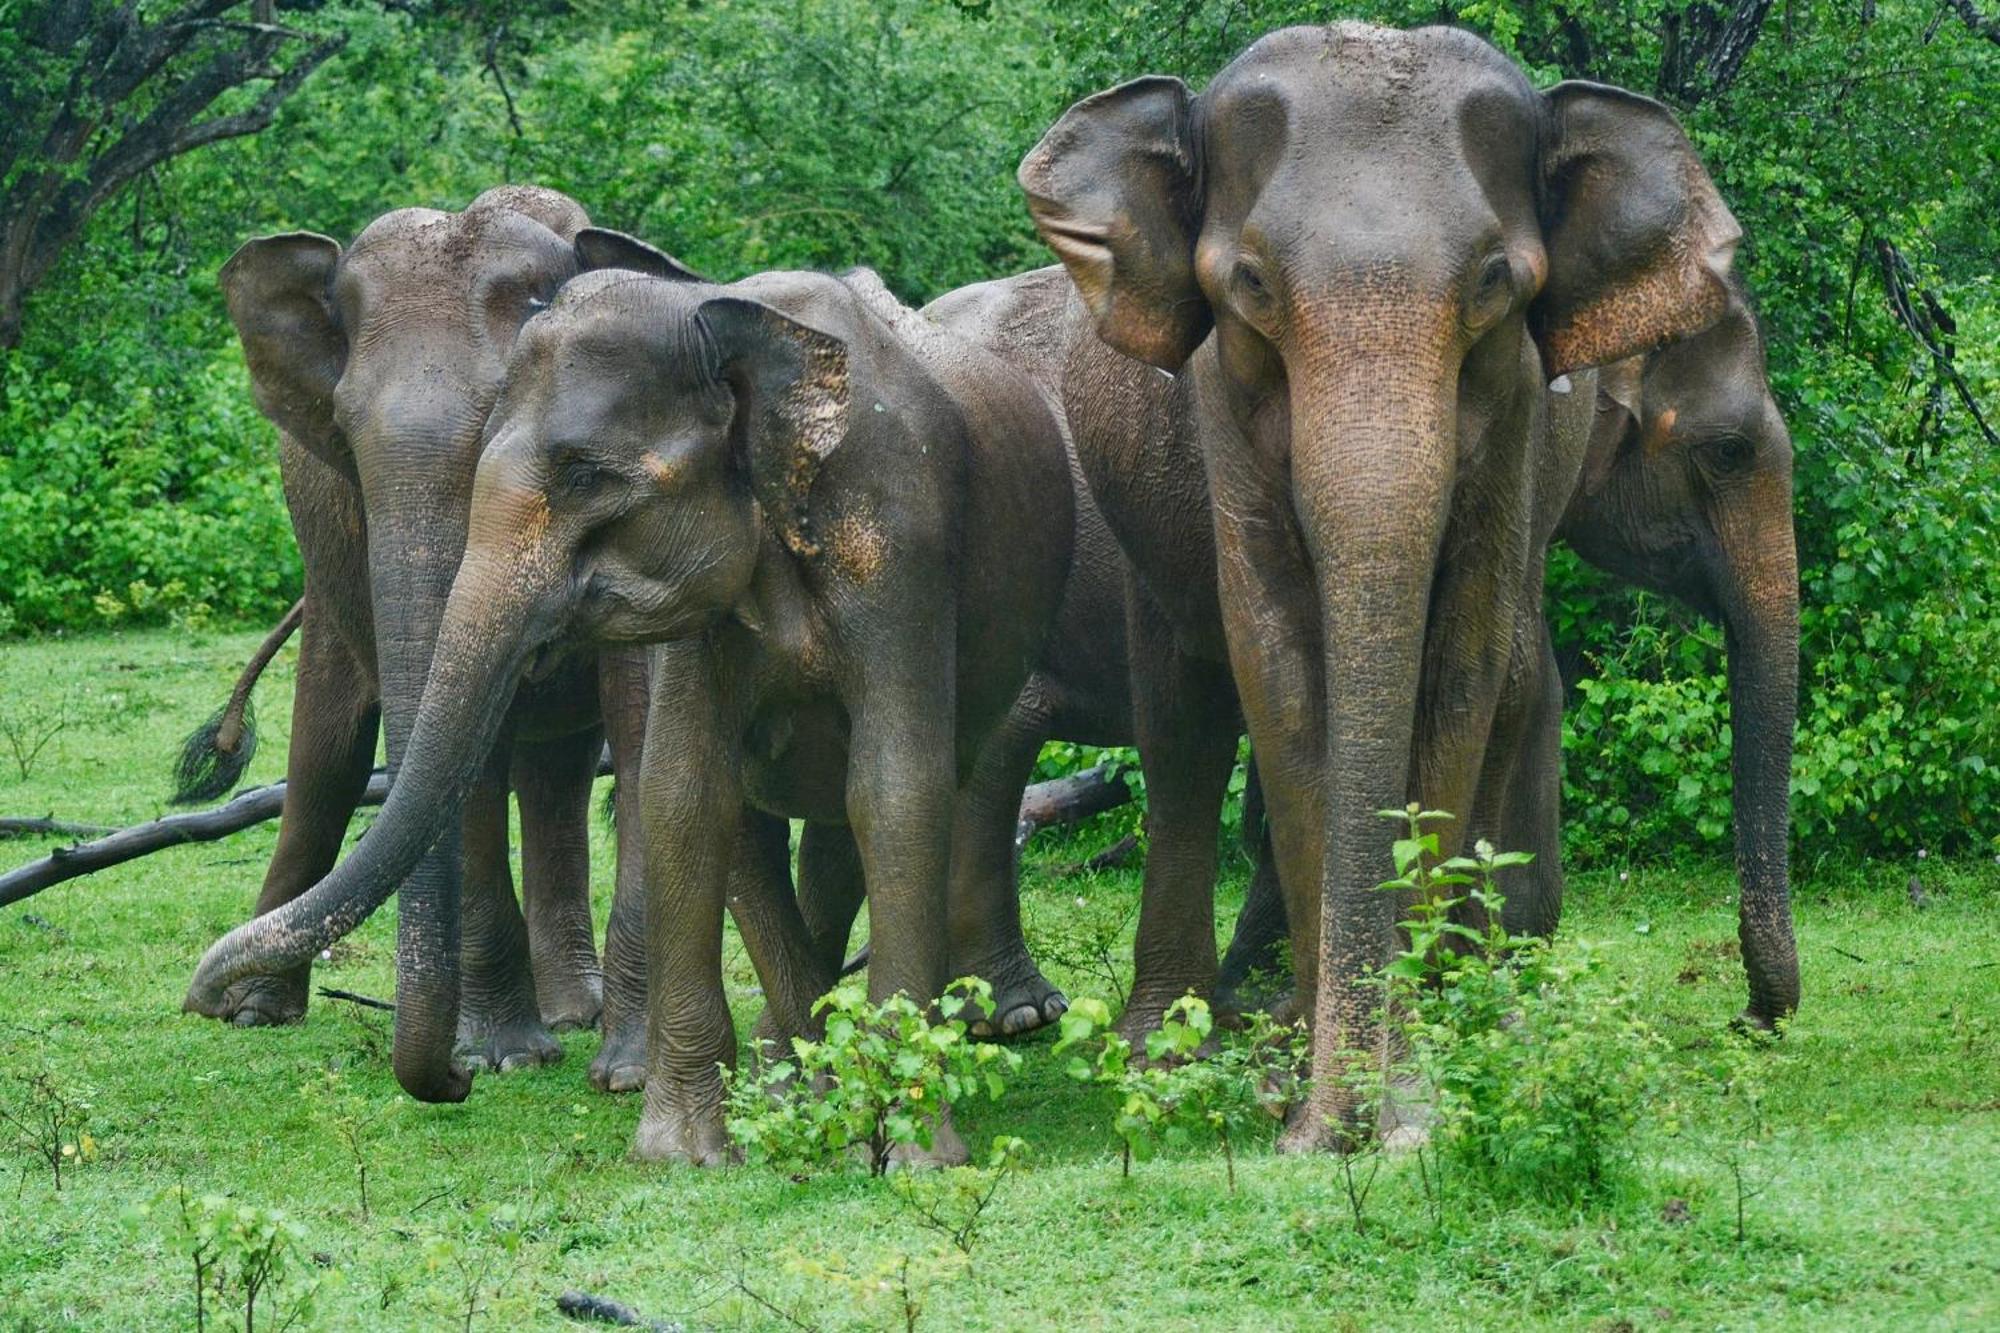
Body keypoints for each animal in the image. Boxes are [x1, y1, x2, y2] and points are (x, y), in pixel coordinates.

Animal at [1024, 23, 1760, 1144]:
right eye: (1249, 285)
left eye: (1496, 281)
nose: (1342, 1124)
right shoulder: (1221, 415)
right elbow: (1279, 671)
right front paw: (1308, 1104)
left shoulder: (1517, 421)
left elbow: (1462, 665)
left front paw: (1409, 1104)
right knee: (1185, 725)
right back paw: (1175, 1049)